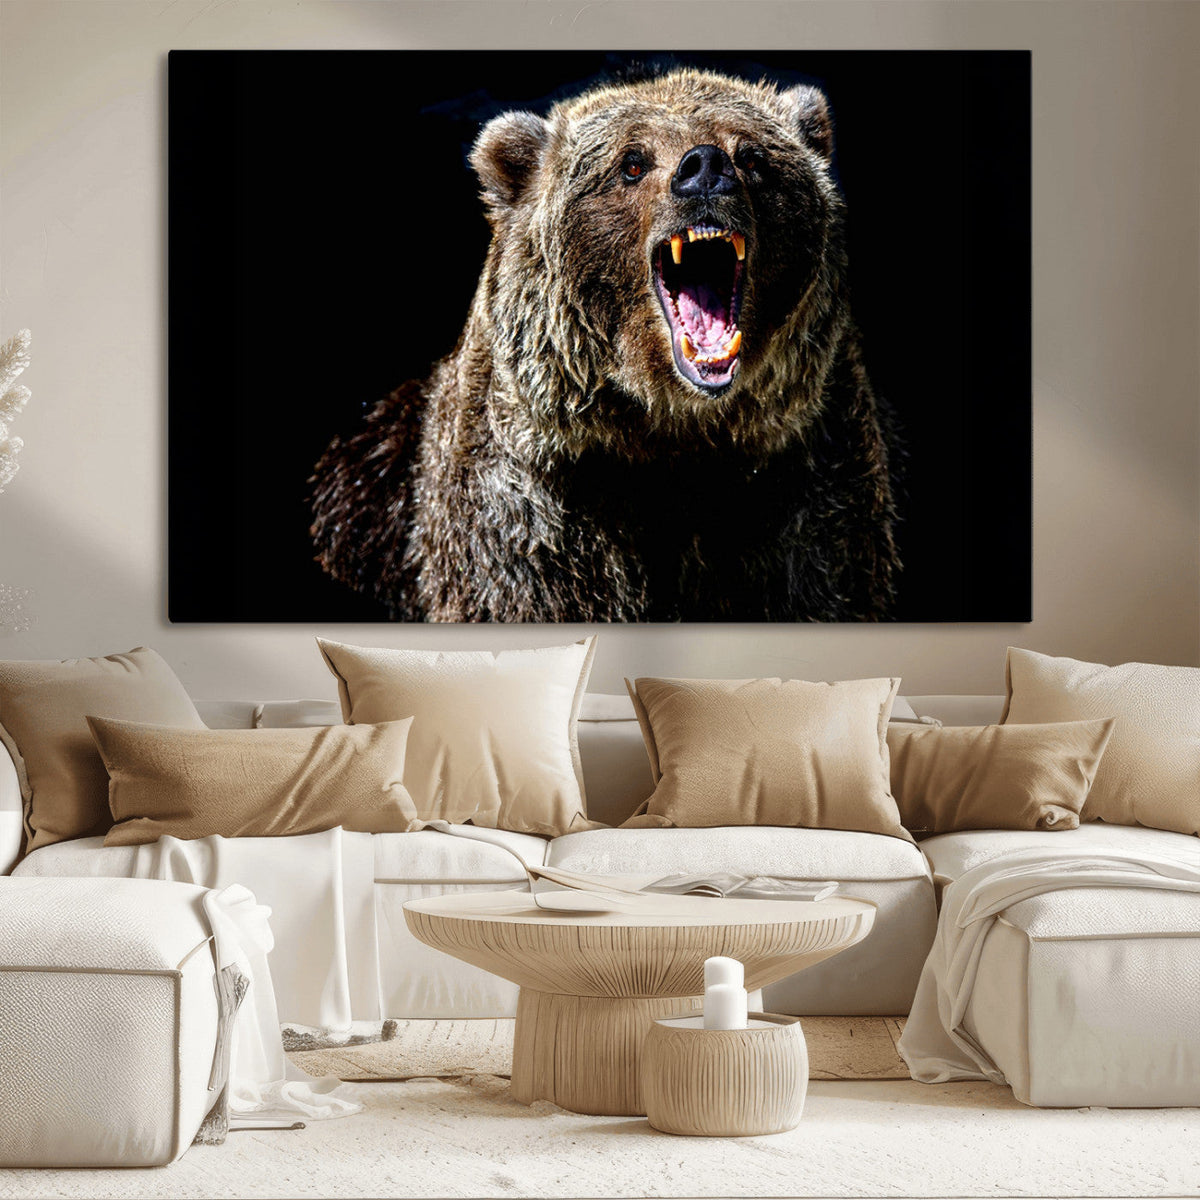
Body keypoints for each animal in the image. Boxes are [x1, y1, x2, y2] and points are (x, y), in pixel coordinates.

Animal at [310, 67, 901, 622]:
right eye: (631, 163)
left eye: (752, 156)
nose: (705, 168)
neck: (671, 435)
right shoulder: (535, 514)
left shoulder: (801, 490)